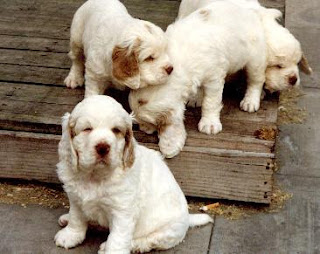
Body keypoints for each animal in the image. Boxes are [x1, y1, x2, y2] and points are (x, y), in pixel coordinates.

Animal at [54, 95, 212, 254]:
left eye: (116, 130)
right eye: (87, 129)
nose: (103, 147)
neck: (95, 174)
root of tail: (188, 219)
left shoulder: (123, 210)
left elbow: (118, 237)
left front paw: (112, 250)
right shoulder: (75, 198)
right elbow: (76, 218)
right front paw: (70, 235)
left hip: (166, 231)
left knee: (147, 241)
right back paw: (66, 218)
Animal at [129, 0, 312, 158]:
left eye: (149, 122)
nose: (143, 129)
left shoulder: (214, 77)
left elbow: (211, 102)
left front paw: (209, 124)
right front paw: (196, 98)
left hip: (255, 59)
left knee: (255, 80)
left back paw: (251, 100)